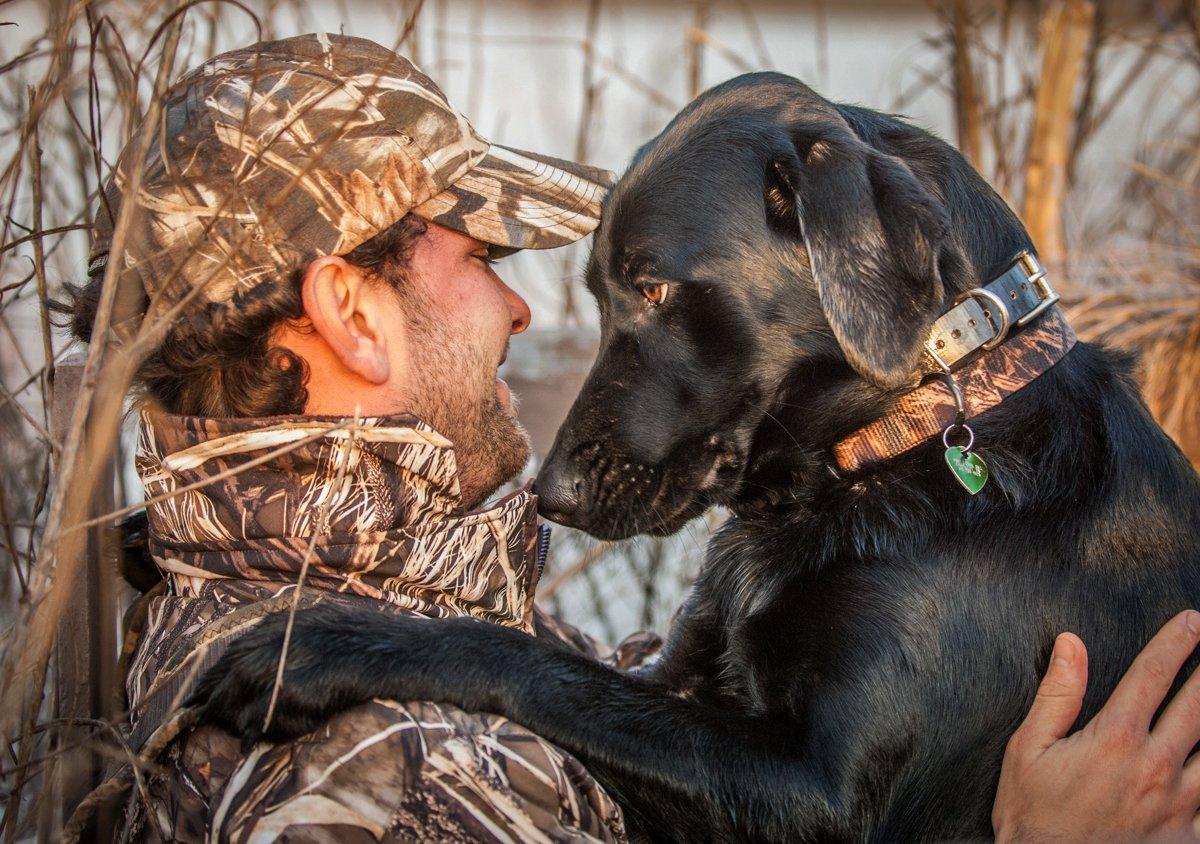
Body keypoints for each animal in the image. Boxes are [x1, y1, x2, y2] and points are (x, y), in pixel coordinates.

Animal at [189, 75, 1200, 840]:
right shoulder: (676, 672)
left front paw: (322, 643)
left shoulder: (818, 796)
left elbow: (535, 664)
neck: (900, 448)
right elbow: (582, 676)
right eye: (601, 293)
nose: (550, 496)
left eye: (653, 288)